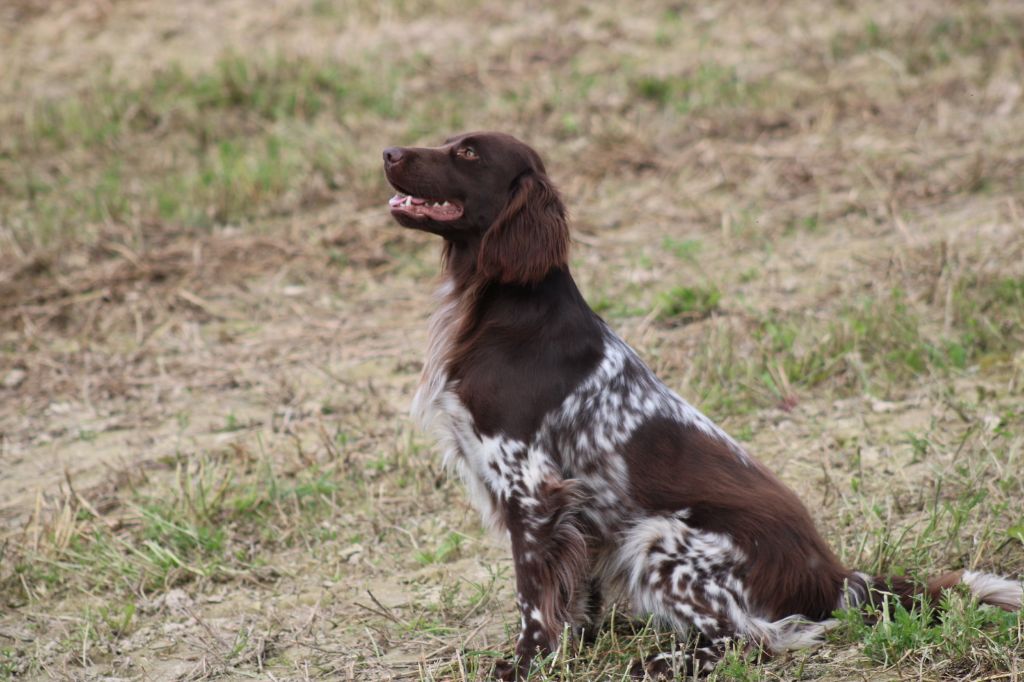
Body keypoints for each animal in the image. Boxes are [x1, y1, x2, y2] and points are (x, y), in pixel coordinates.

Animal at [382, 131, 1015, 675]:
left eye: (467, 152)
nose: (388, 152)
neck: (503, 308)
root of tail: (835, 578)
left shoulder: (532, 487)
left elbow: (534, 602)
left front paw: (525, 666)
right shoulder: (568, 507)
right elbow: (573, 599)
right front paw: (575, 651)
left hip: (659, 539)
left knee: (755, 637)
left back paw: (660, 663)